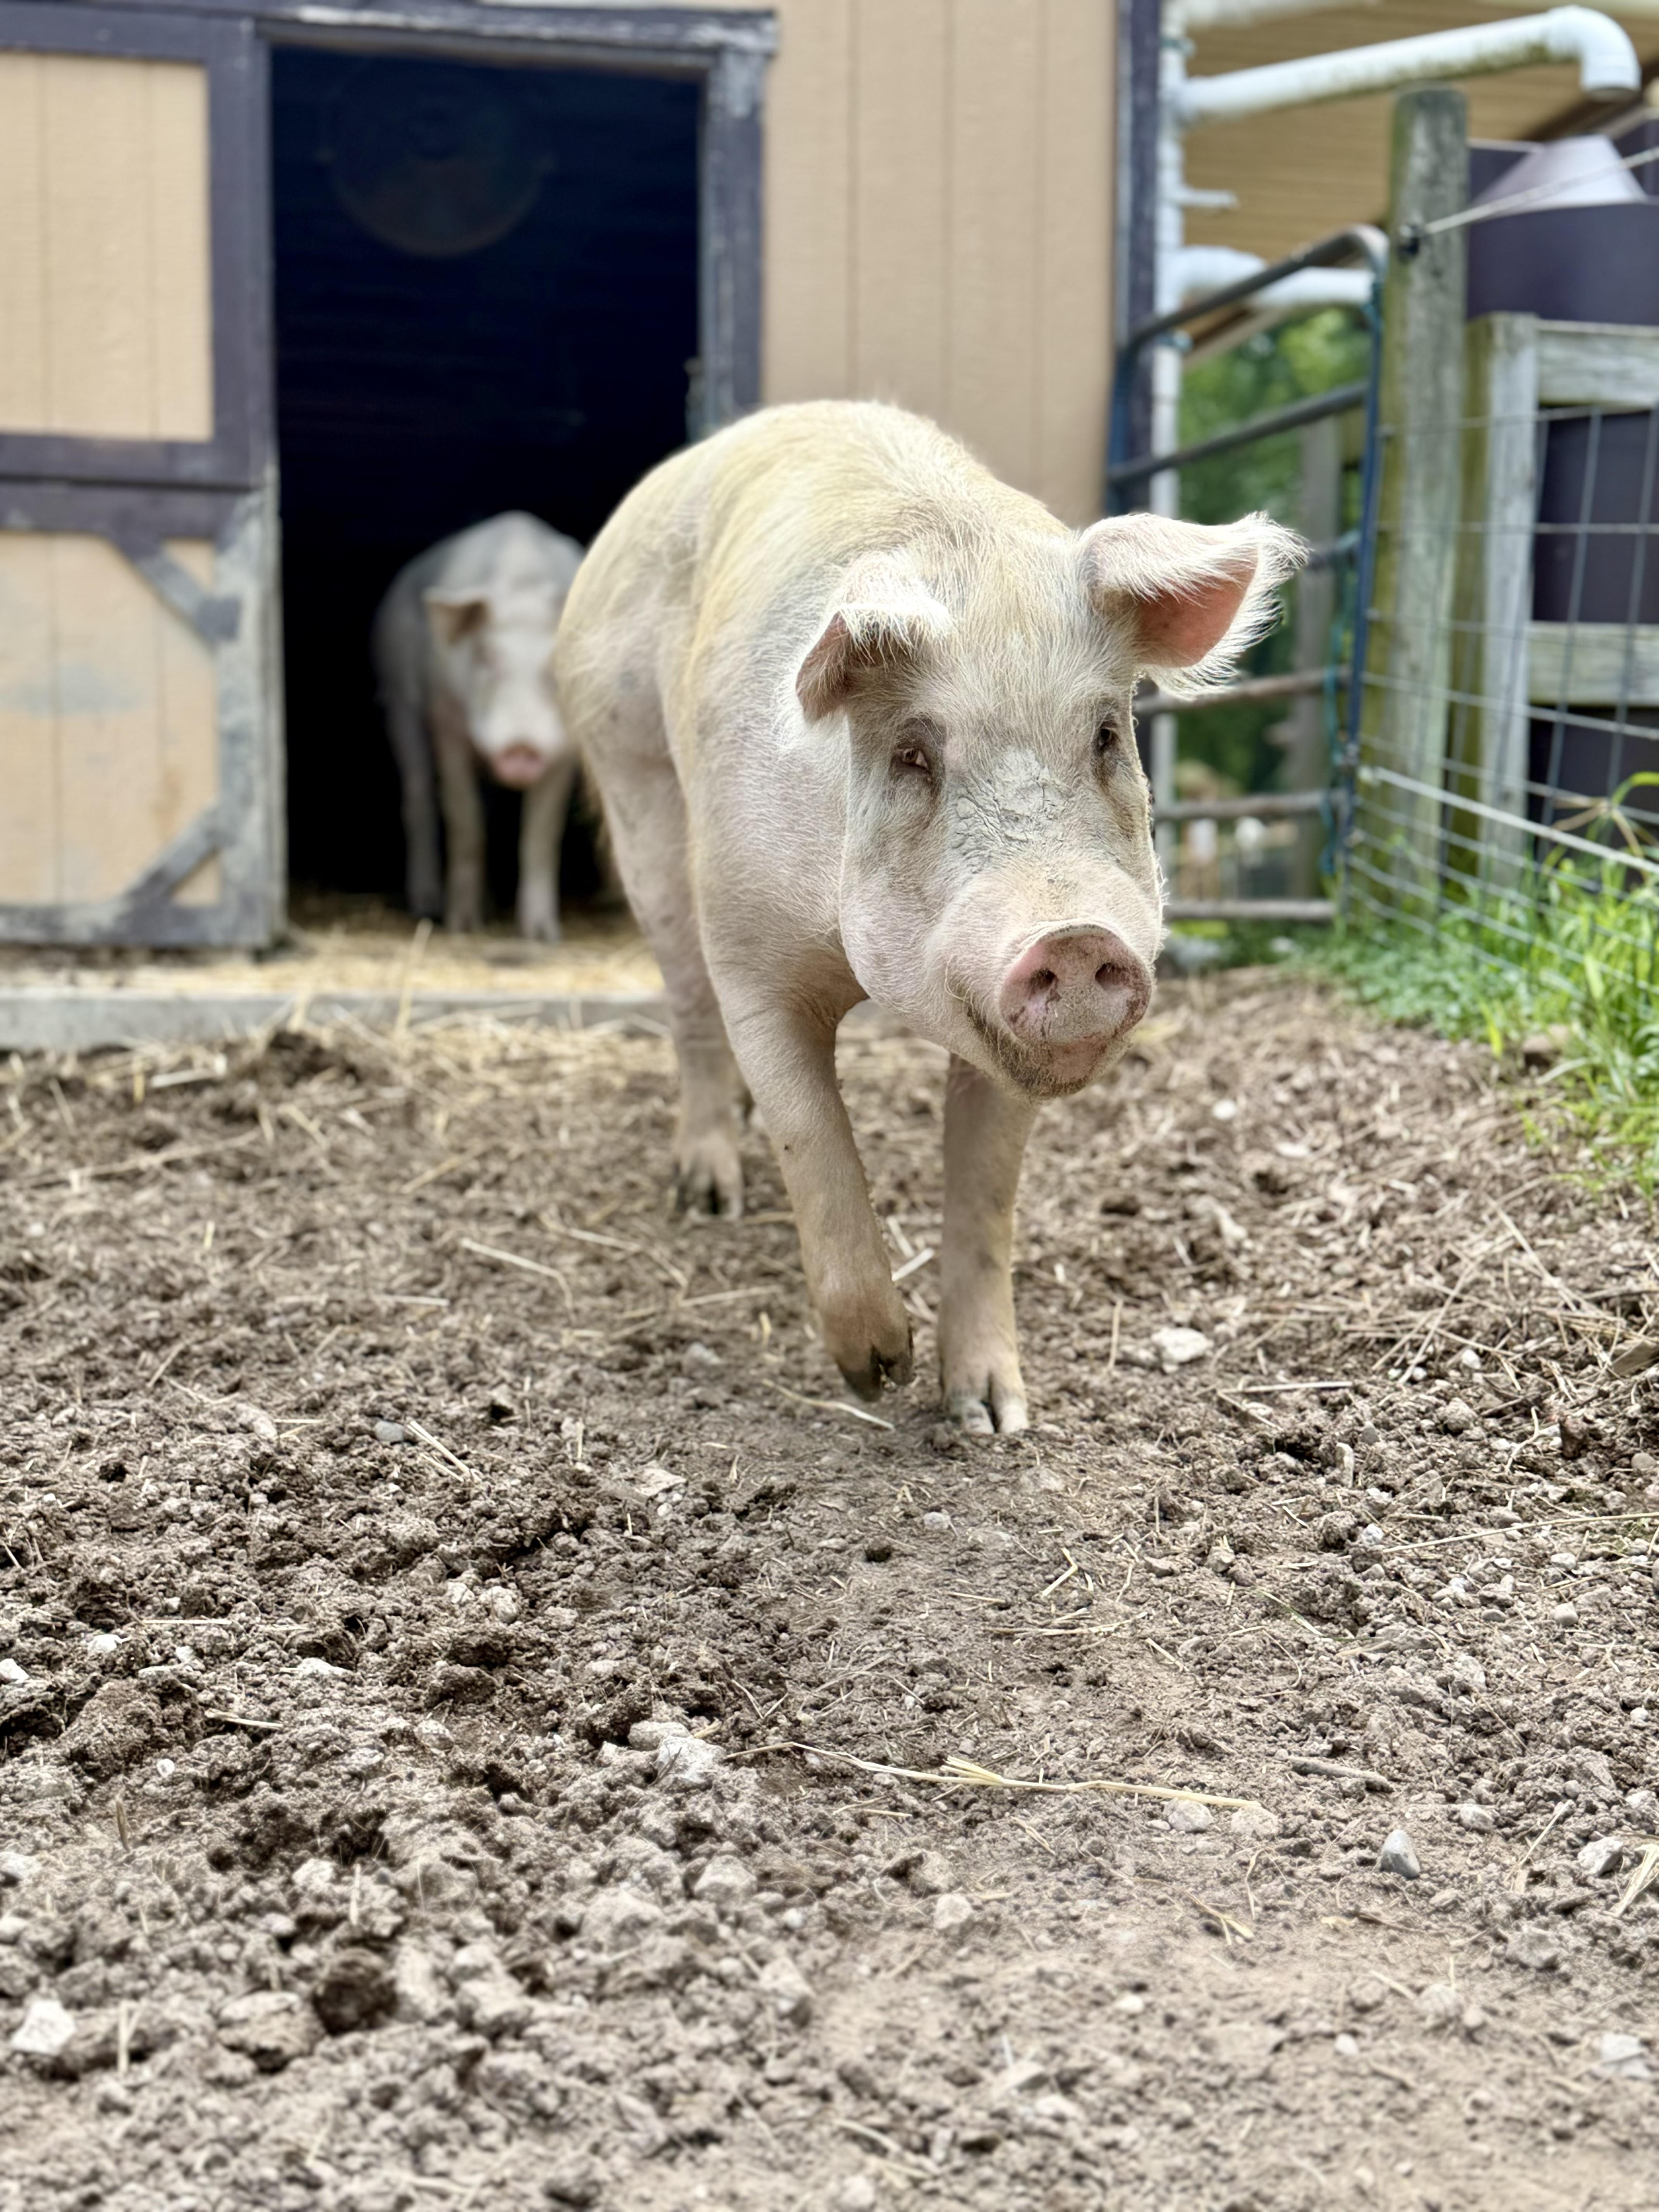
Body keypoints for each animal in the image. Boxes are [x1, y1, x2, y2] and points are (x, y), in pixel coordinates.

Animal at [373, 512, 584, 940]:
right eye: (486, 655)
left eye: (555, 662)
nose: (521, 745)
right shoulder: (445, 719)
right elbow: (464, 818)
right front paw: (463, 928)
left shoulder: (565, 745)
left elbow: (542, 832)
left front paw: (542, 937)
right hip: (398, 699)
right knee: (419, 795)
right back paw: (427, 907)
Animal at [556, 402, 1301, 1429]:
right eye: (914, 754)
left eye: (1107, 735)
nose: (1075, 937)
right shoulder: (751, 957)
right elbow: (813, 1139)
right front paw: (876, 1372)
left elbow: (985, 1197)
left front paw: (992, 1417)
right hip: (634, 779)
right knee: (686, 1001)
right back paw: (707, 1195)